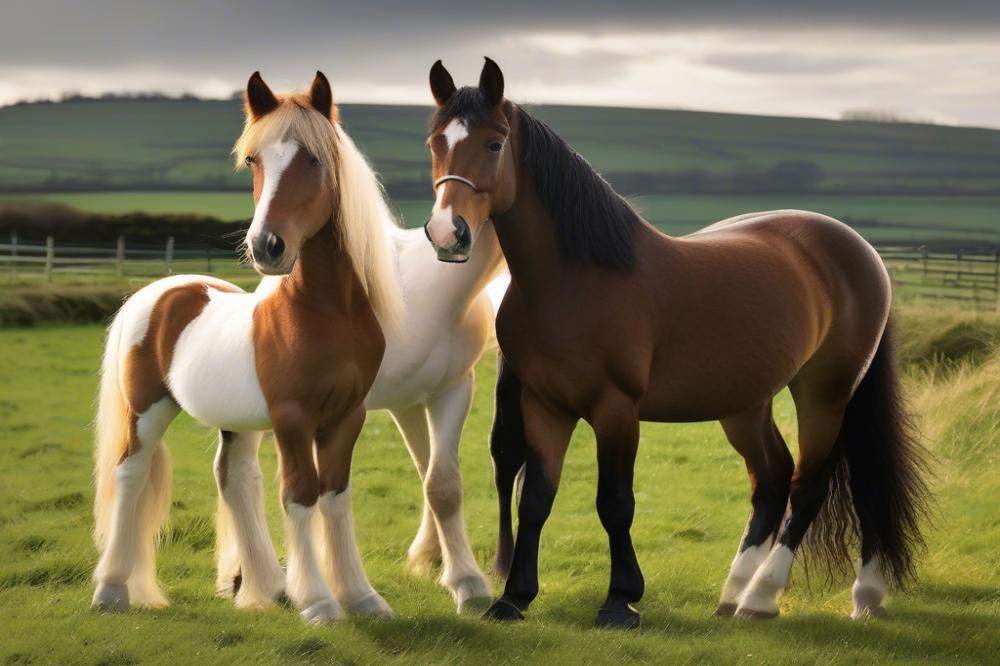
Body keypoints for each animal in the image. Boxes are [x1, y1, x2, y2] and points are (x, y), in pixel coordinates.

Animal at [93, 72, 406, 624]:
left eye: (314, 160)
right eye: (255, 161)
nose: (266, 246)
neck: (327, 312)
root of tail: (157, 293)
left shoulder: (348, 416)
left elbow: (336, 495)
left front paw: (361, 598)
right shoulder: (293, 418)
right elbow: (300, 494)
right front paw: (320, 602)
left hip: (237, 426)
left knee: (234, 479)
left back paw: (268, 586)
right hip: (147, 411)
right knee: (130, 474)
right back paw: (111, 590)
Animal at [422, 58, 928, 628]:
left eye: (494, 143)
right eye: (435, 142)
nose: (448, 233)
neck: (575, 280)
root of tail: (861, 250)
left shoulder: (616, 410)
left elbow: (615, 503)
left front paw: (620, 600)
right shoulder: (545, 407)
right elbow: (536, 499)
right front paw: (514, 598)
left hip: (826, 392)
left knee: (816, 485)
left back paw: (773, 597)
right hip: (745, 403)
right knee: (774, 479)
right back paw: (741, 594)